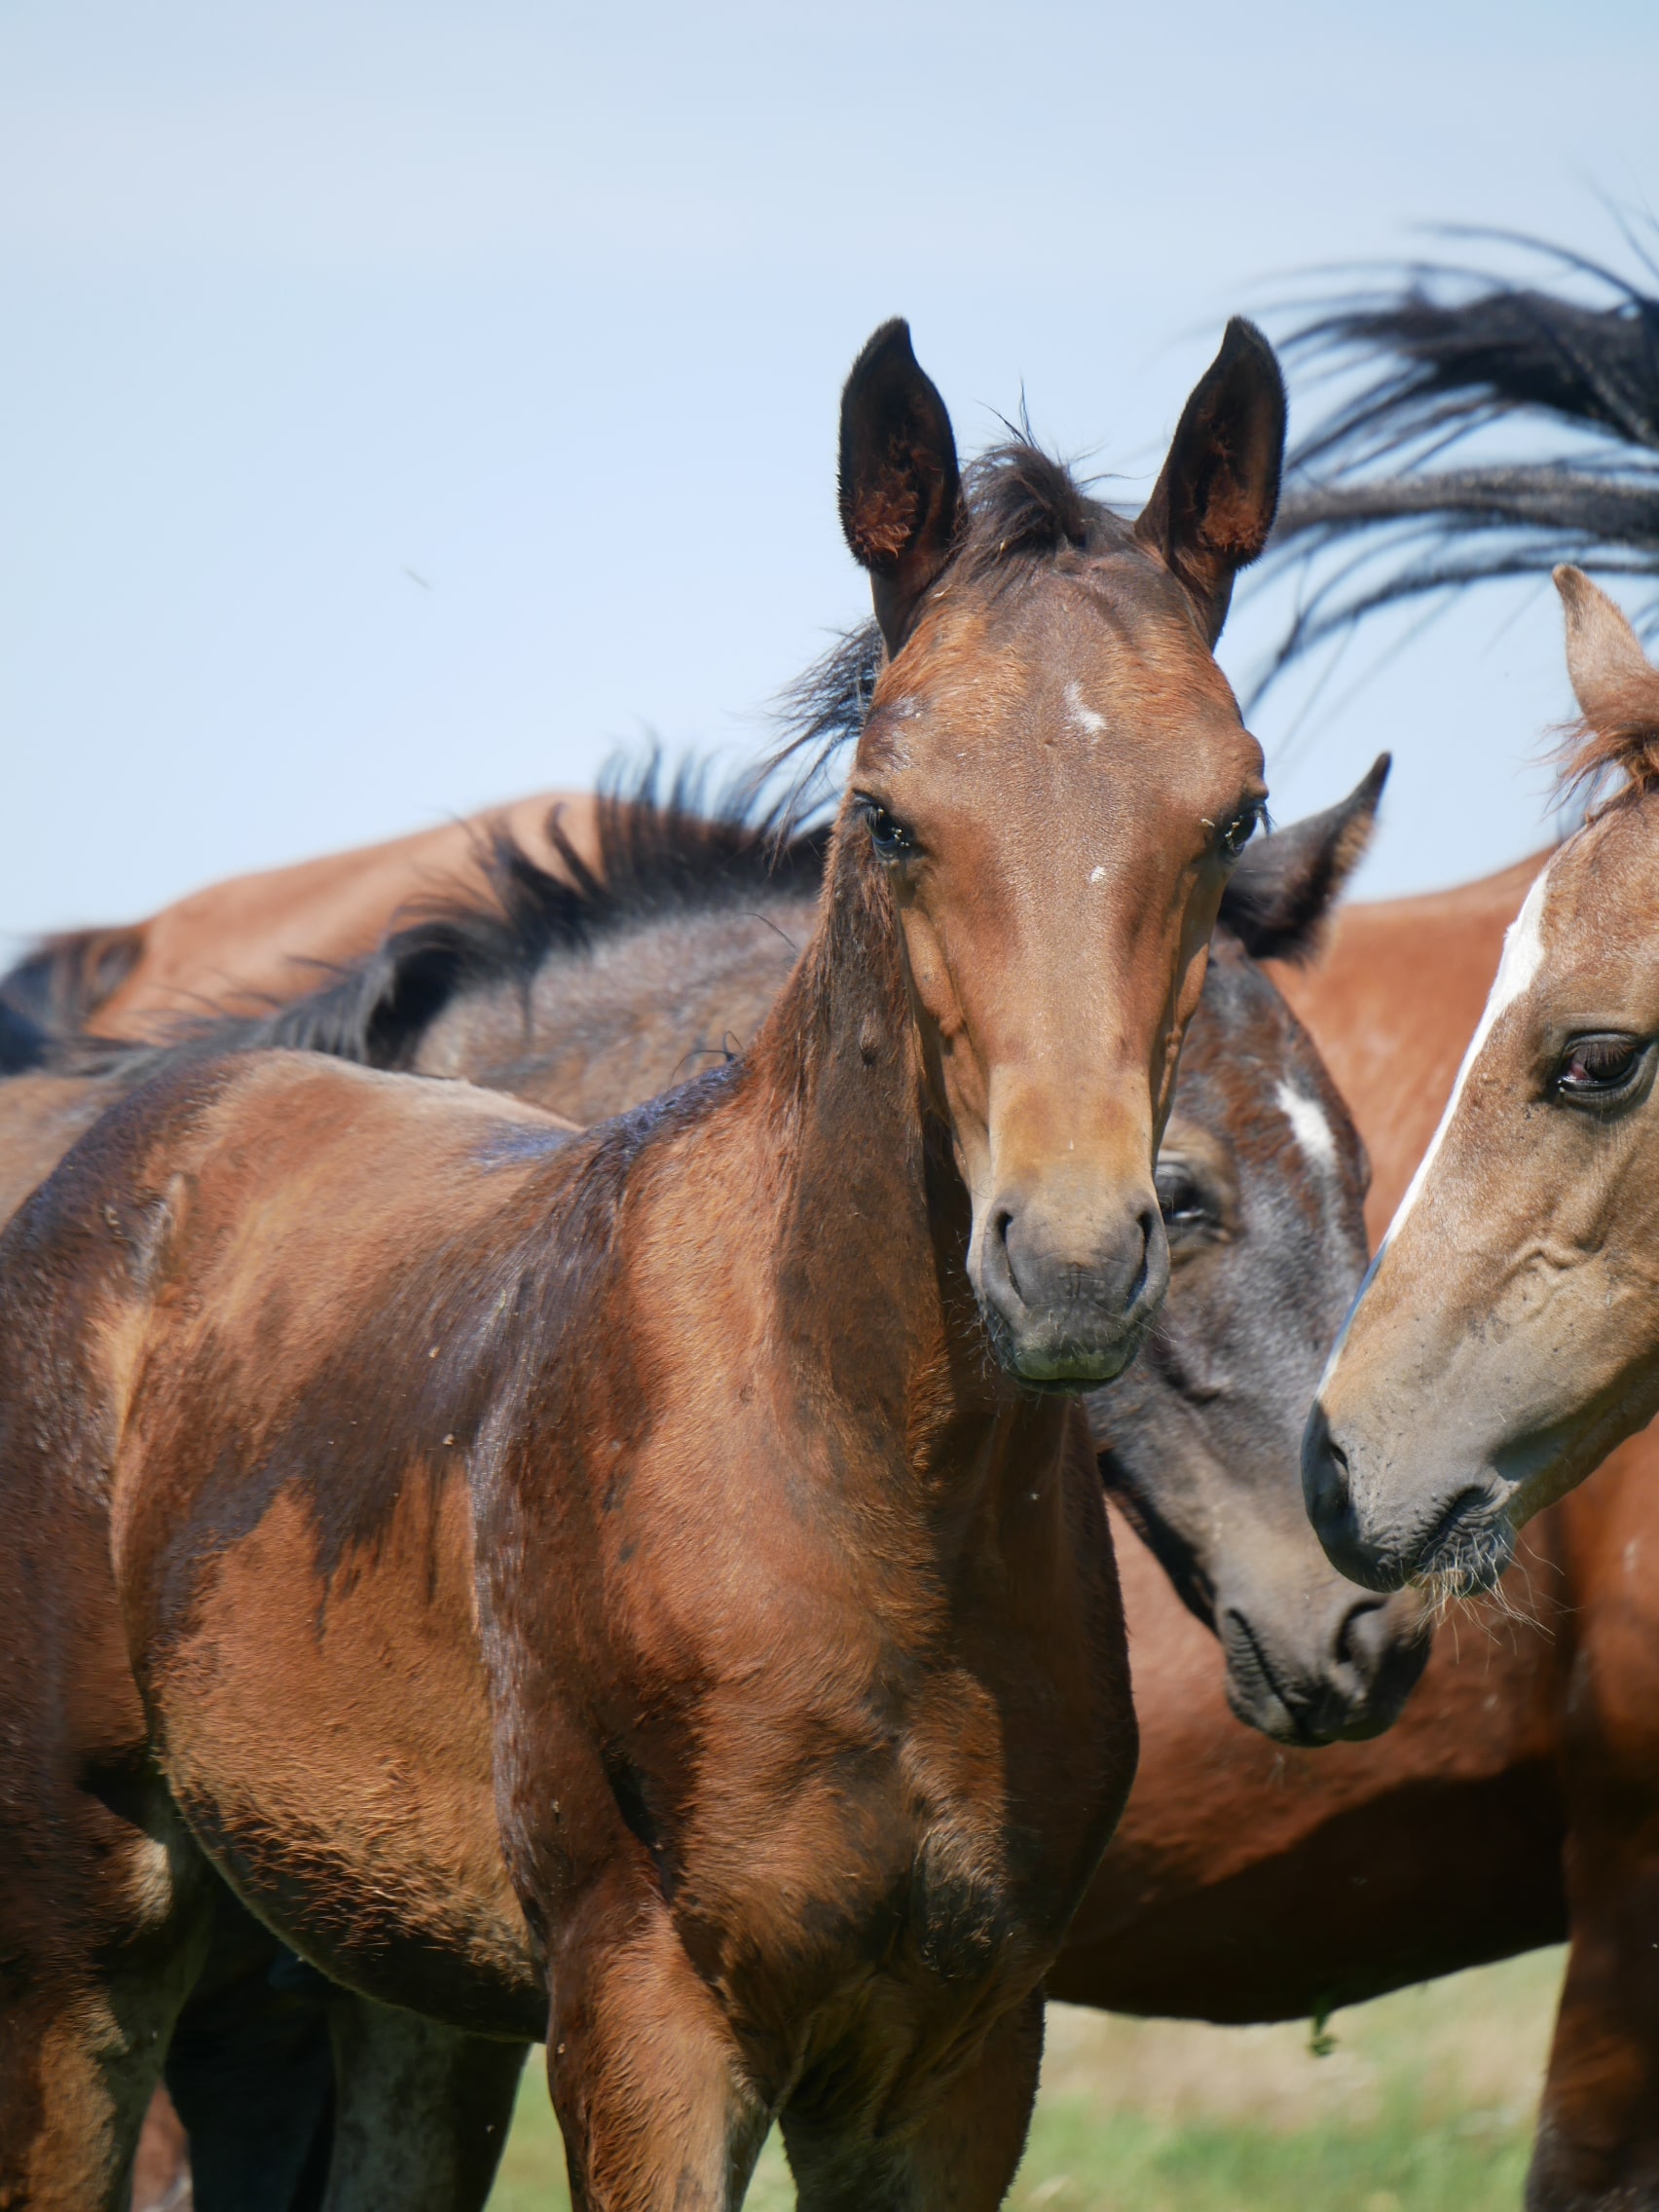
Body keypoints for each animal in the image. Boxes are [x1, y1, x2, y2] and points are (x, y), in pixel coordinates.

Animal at [0, 310, 1289, 2210]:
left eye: (1233, 812)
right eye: (886, 812)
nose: (1065, 1261)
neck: (861, 1494)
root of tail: (151, 1117)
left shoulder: (960, 2051)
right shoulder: (647, 2009)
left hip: (401, 1974)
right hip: (91, 1919)